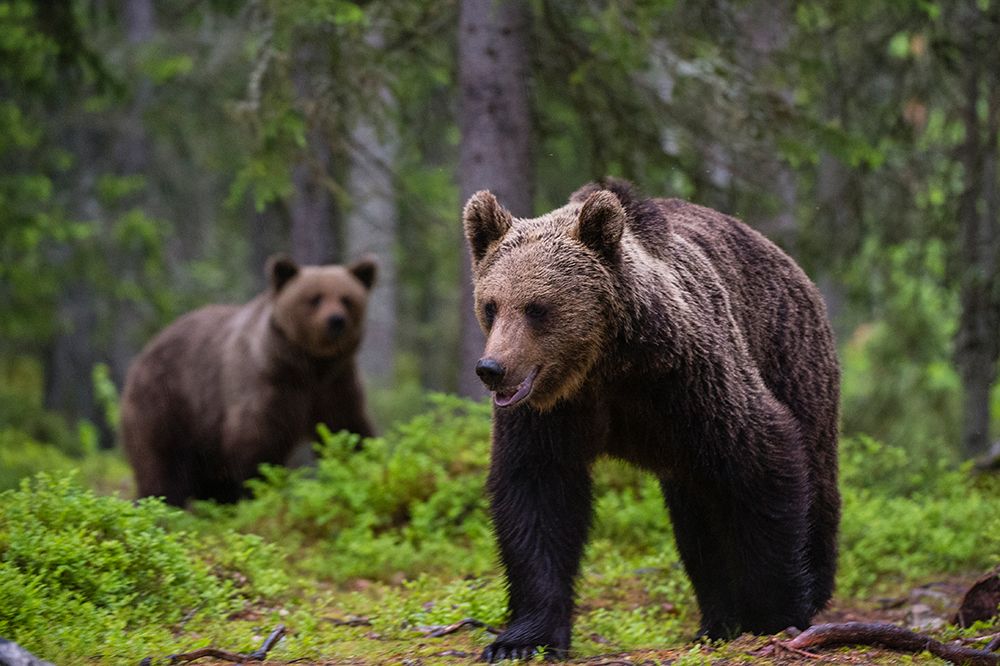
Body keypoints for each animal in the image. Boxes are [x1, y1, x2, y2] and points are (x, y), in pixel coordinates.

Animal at [121, 254, 377, 507]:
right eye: (315, 299)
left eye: (347, 299)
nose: (336, 321)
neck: (309, 366)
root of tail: (142, 356)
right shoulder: (267, 382)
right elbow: (257, 438)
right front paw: (263, 489)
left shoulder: (335, 385)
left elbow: (347, 428)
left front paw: (361, 467)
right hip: (168, 403)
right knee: (163, 465)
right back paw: (160, 503)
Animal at [463, 179, 840, 661]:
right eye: (492, 305)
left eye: (537, 307)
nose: (492, 369)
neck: (603, 363)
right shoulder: (549, 414)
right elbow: (536, 494)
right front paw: (521, 640)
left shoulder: (688, 379)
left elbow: (760, 458)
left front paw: (776, 613)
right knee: (698, 522)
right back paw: (717, 620)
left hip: (790, 360)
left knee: (809, 479)